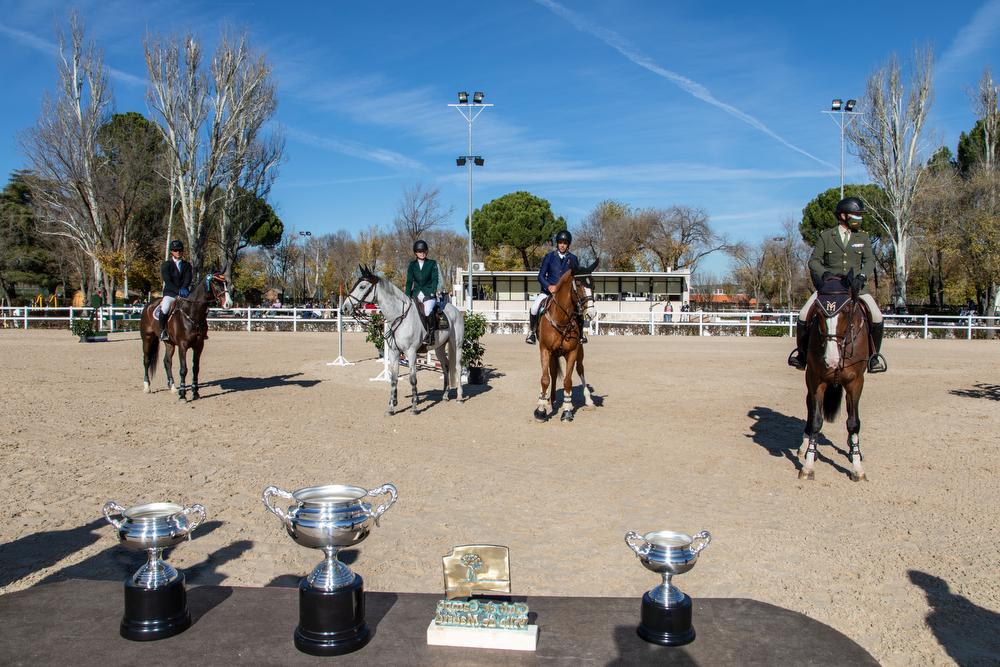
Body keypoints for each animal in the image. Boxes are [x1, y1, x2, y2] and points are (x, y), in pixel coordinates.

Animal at [140, 272, 231, 402]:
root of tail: (148, 305)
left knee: (167, 361)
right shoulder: (182, 346)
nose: (228, 303)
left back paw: (173, 387)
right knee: (146, 360)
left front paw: (195, 393)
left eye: (226, 283)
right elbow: (183, 370)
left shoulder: (199, 345)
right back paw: (147, 387)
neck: (192, 313)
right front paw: (183, 395)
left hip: (169, 343)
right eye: (216, 283)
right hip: (147, 339)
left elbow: (195, 369)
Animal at [342, 264, 462, 412]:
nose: (344, 308)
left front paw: (414, 406)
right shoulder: (394, 352)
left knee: (458, 366)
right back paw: (445, 395)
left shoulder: (411, 352)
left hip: (457, 345)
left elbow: (413, 378)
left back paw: (459, 397)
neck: (399, 316)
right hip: (439, 348)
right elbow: (394, 378)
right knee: (445, 366)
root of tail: (455, 310)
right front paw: (391, 407)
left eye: (362, 287)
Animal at [536, 260, 596, 422]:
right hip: (553, 354)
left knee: (580, 369)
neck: (562, 319)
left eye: (593, 285)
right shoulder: (545, 350)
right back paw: (550, 399)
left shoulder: (573, 352)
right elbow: (545, 379)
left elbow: (568, 381)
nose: (592, 313)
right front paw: (541, 409)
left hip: (579, 353)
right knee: (552, 373)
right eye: (579, 284)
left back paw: (588, 400)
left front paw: (567, 409)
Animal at [800, 274, 872, 482]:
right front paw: (808, 464)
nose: (831, 360)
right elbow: (816, 420)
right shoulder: (816, 380)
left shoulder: (856, 383)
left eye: (846, 310)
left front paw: (857, 467)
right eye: (818, 311)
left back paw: (854, 449)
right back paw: (804, 447)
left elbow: (853, 423)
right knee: (809, 409)